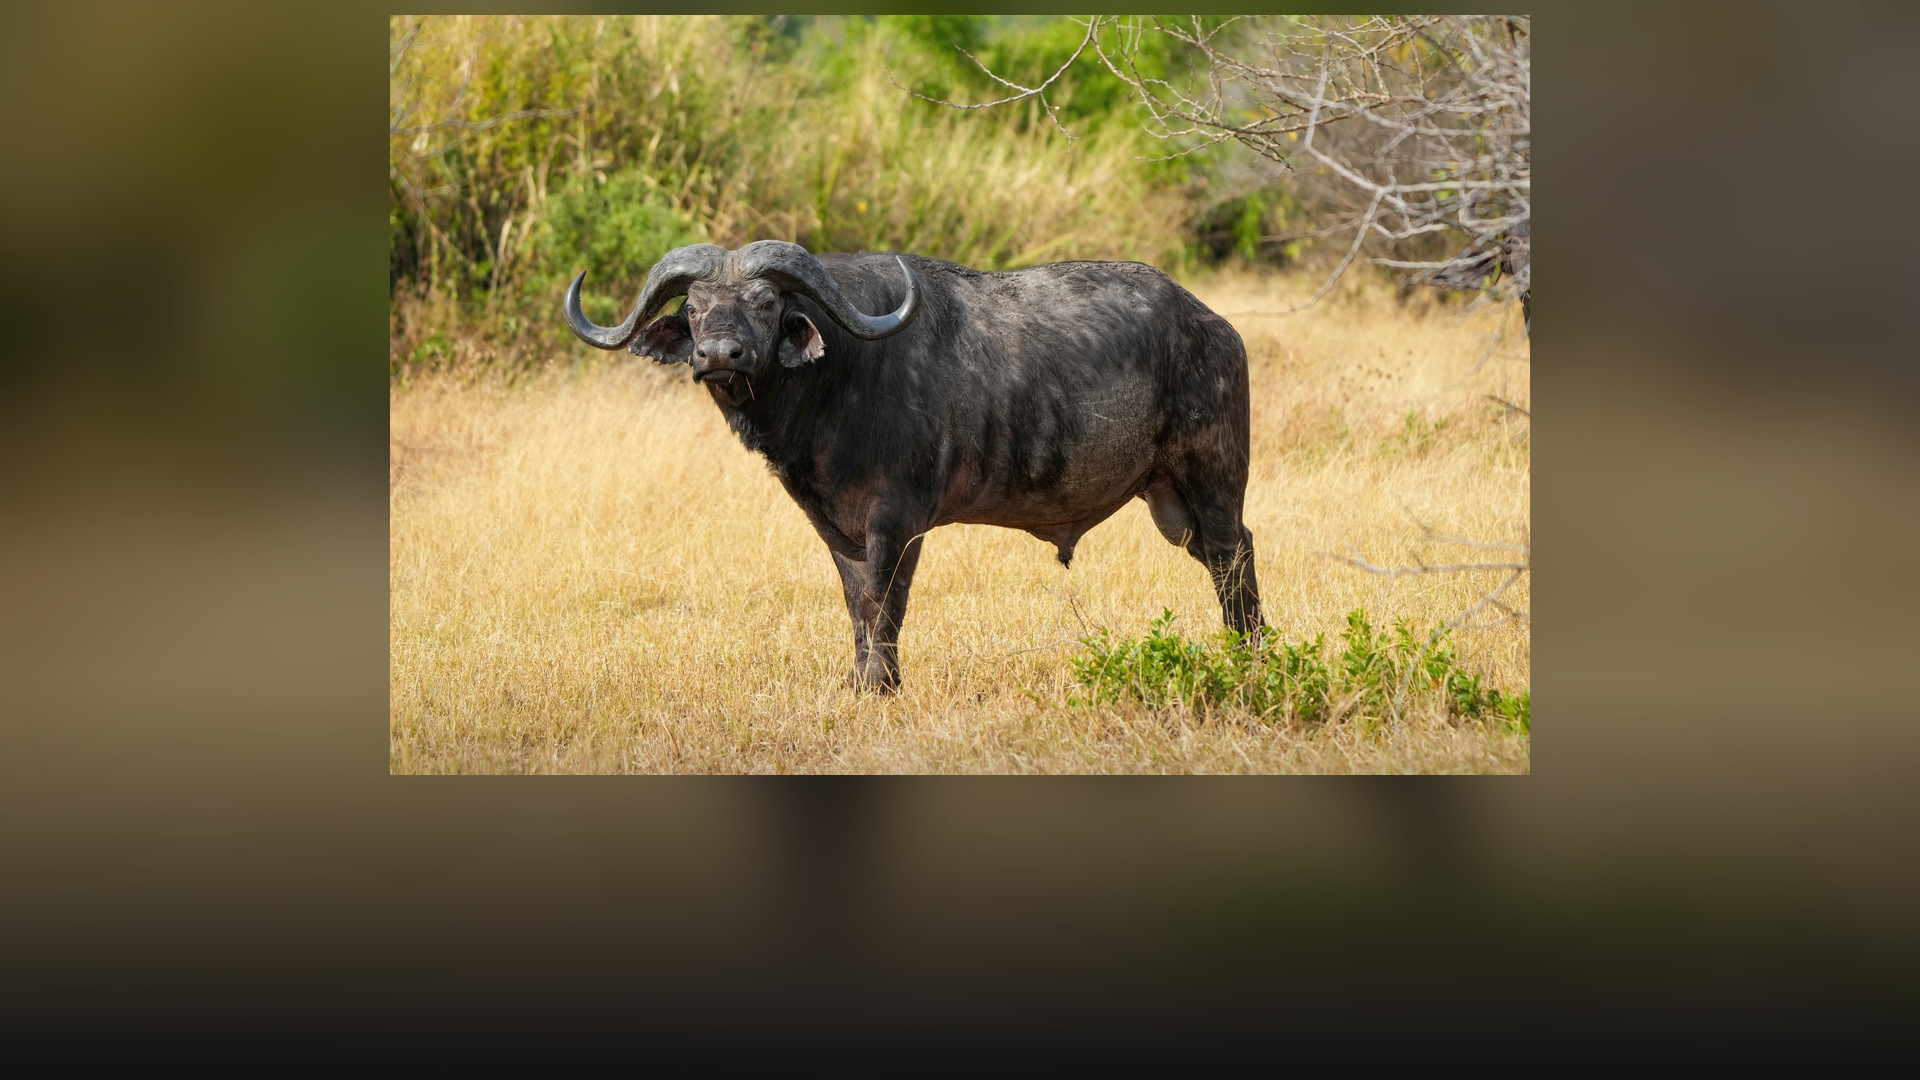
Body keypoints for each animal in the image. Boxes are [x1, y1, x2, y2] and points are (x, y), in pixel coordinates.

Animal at [564, 241, 1264, 692]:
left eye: (765, 304)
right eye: (693, 306)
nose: (717, 354)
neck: (838, 378)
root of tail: (1212, 325)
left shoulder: (897, 524)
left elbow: (885, 604)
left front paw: (882, 687)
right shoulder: (837, 530)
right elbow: (857, 605)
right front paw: (860, 684)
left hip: (1215, 479)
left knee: (1233, 557)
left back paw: (1249, 657)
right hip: (1171, 503)